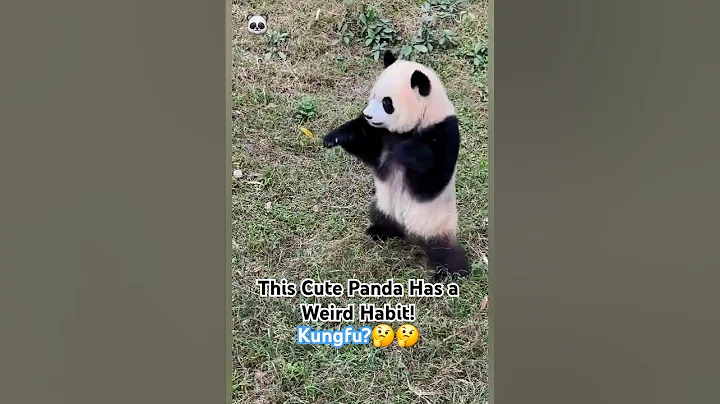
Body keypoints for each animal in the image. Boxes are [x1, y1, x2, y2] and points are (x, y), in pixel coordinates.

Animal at [323, 50, 470, 280]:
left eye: (387, 103)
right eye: (373, 95)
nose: (367, 115)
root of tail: (410, 232)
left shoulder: (443, 131)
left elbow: (434, 172)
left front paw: (402, 152)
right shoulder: (380, 134)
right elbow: (369, 149)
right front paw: (334, 137)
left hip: (437, 223)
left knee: (445, 252)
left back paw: (453, 272)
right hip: (385, 204)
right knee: (380, 215)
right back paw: (379, 231)